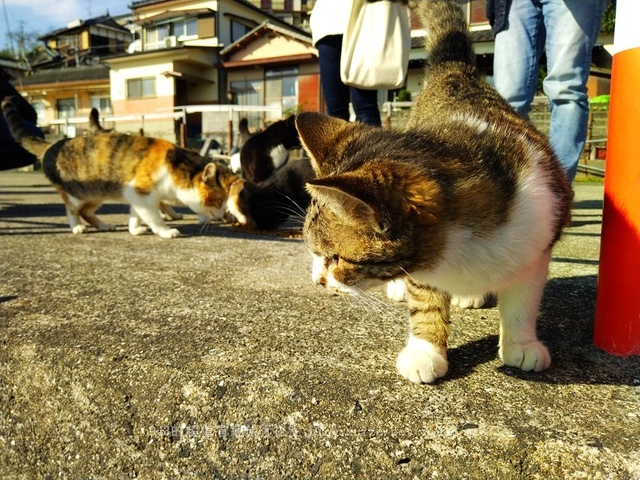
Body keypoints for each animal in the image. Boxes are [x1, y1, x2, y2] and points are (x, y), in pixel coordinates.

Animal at [1, 95, 242, 238]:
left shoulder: (137, 195)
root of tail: (53, 145)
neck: (174, 168)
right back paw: (76, 226)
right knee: (72, 209)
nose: (224, 214)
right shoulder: (142, 192)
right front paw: (164, 231)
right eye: (218, 200)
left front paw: (135, 228)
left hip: (96, 194)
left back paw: (103, 225)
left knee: (86, 211)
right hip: (79, 192)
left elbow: (137, 212)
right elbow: (152, 215)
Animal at [298, 0, 572, 382]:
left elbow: (523, 300)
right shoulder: (423, 264)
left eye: (336, 257)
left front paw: (521, 343)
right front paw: (425, 350)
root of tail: (456, 71)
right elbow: (425, 299)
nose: (317, 281)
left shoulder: (538, 239)